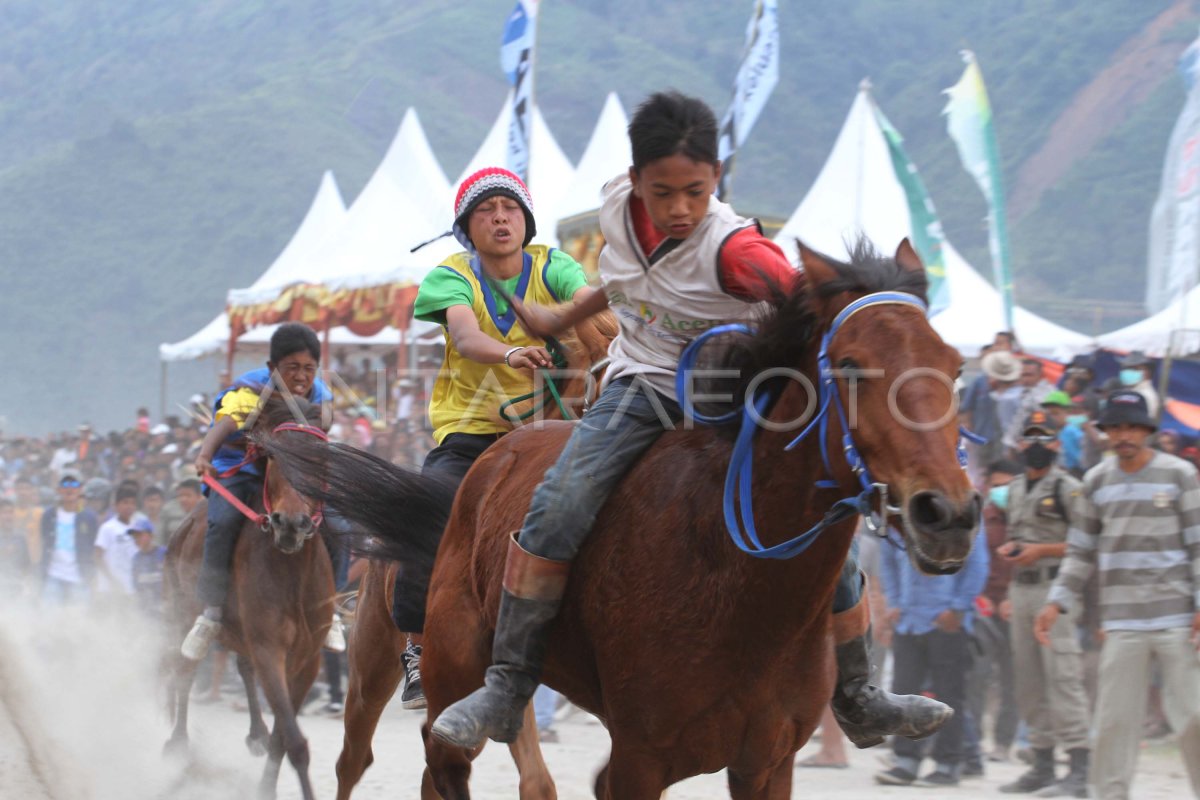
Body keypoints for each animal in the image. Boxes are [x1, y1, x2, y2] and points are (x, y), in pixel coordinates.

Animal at [164, 395, 338, 800]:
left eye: (319, 459)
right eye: (273, 456)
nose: (291, 523)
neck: (292, 572)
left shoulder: (306, 658)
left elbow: (282, 737)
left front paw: (265, 782)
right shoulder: (269, 647)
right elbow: (295, 743)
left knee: (241, 667)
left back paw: (255, 731)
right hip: (181, 611)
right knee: (183, 670)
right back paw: (177, 744)